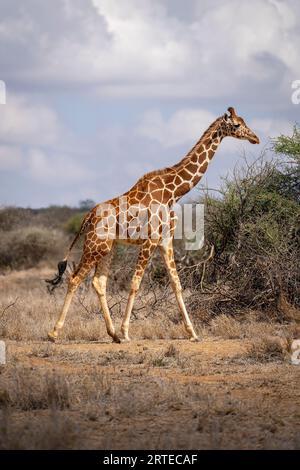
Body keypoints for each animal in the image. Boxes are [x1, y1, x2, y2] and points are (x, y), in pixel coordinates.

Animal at [47, 106, 258, 342]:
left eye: (244, 121)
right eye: (237, 125)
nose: (255, 138)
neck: (173, 192)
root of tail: (88, 217)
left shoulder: (165, 240)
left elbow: (176, 283)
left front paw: (192, 333)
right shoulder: (150, 240)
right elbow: (135, 284)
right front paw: (126, 331)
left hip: (108, 247)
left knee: (98, 282)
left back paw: (113, 334)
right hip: (95, 245)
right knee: (74, 279)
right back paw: (55, 332)